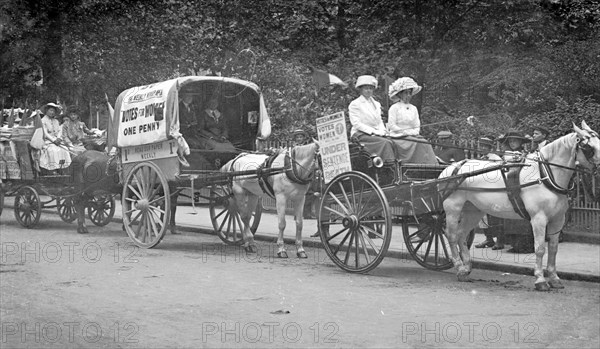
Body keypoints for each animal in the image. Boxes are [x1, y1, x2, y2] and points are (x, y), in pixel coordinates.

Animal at [438, 121, 596, 290]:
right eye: (588, 146)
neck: (545, 174)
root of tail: (452, 167)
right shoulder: (538, 219)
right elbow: (540, 248)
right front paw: (540, 279)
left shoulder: (558, 219)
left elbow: (553, 248)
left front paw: (554, 278)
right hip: (453, 208)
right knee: (452, 235)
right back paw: (459, 267)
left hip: (473, 210)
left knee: (461, 234)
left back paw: (466, 268)